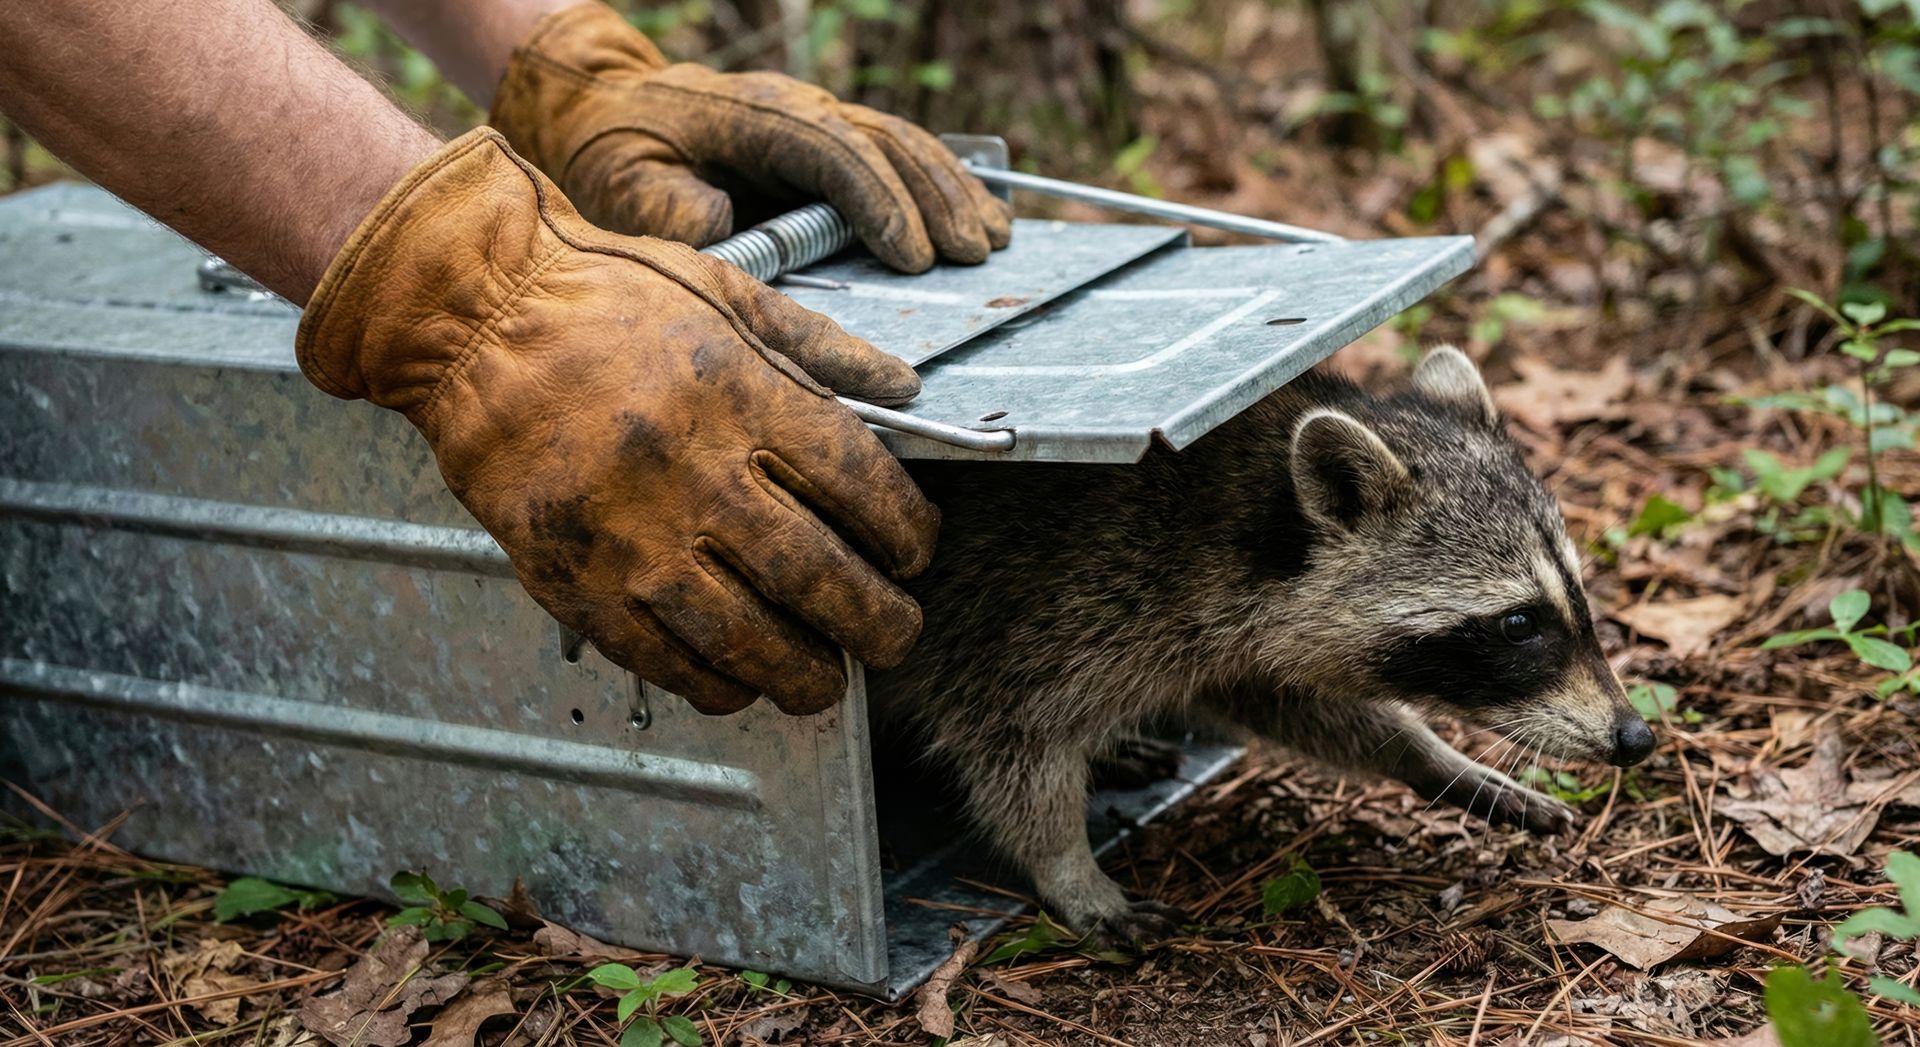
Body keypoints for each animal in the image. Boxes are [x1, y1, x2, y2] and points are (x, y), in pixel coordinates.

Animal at [868, 346, 1654, 941]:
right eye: (1519, 623)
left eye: (1579, 598)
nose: (1637, 736)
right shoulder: (1033, 603)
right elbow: (1008, 740)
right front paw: (1066, 866)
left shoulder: (1217, 634)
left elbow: (1290, 701)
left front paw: (1433, 757)